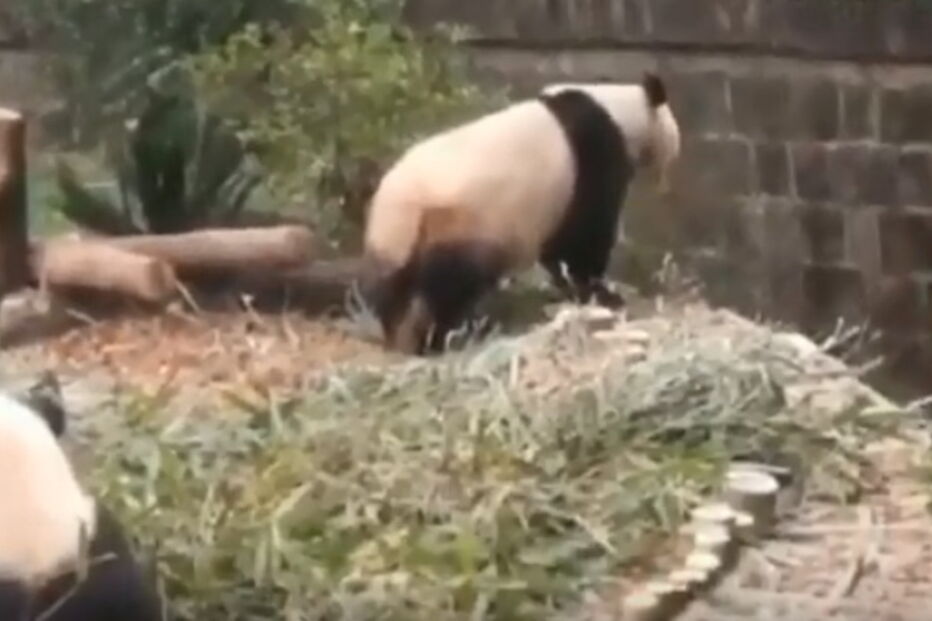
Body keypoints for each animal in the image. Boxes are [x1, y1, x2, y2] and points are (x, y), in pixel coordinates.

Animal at [360, 72, 681, 355]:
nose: (666, 184)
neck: (620, 110)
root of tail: (406, 206)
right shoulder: (593, 153)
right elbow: (582, 238)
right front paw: (602, 294)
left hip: (393, 245)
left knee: (393, 290)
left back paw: (400, 336)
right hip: (463, 223)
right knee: (450, 287)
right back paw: (442, 338)